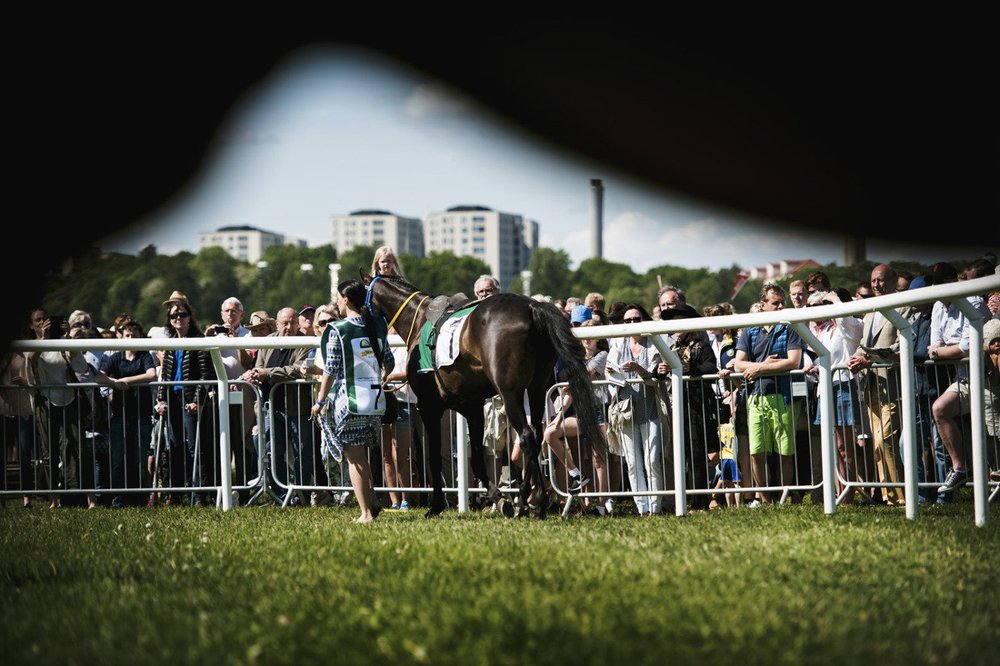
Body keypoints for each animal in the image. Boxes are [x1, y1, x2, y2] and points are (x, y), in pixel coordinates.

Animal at [364, 272, 604, 516]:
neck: (419, 319)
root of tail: (532, 307)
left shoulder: (429, 405)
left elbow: (435, 456)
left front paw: (437, 504)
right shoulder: (472, 406)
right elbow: (477, 458)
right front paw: (499, 497)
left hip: (510, 393)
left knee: (526, 436)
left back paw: (534, 501)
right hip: (537, 389)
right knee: (536, 436)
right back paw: (527, 500)